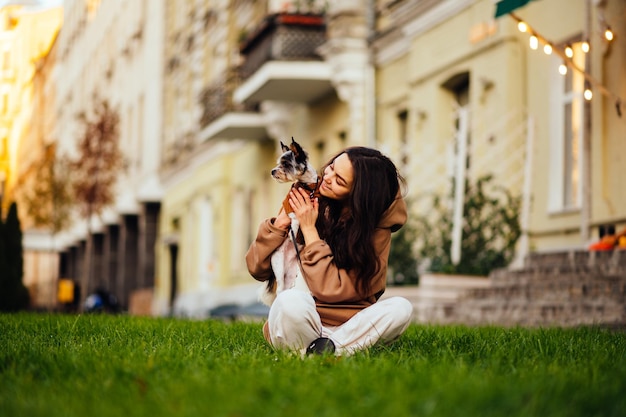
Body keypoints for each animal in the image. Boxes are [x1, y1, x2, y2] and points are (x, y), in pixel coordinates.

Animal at [258, 138, 316, 304]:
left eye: (285, 163)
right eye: (279, 163)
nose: (272, 171)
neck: (308, 186)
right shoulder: (289, 204)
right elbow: (294, 218)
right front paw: (293, 232)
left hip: (291, 275)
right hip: (278, 266)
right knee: (279, 292)